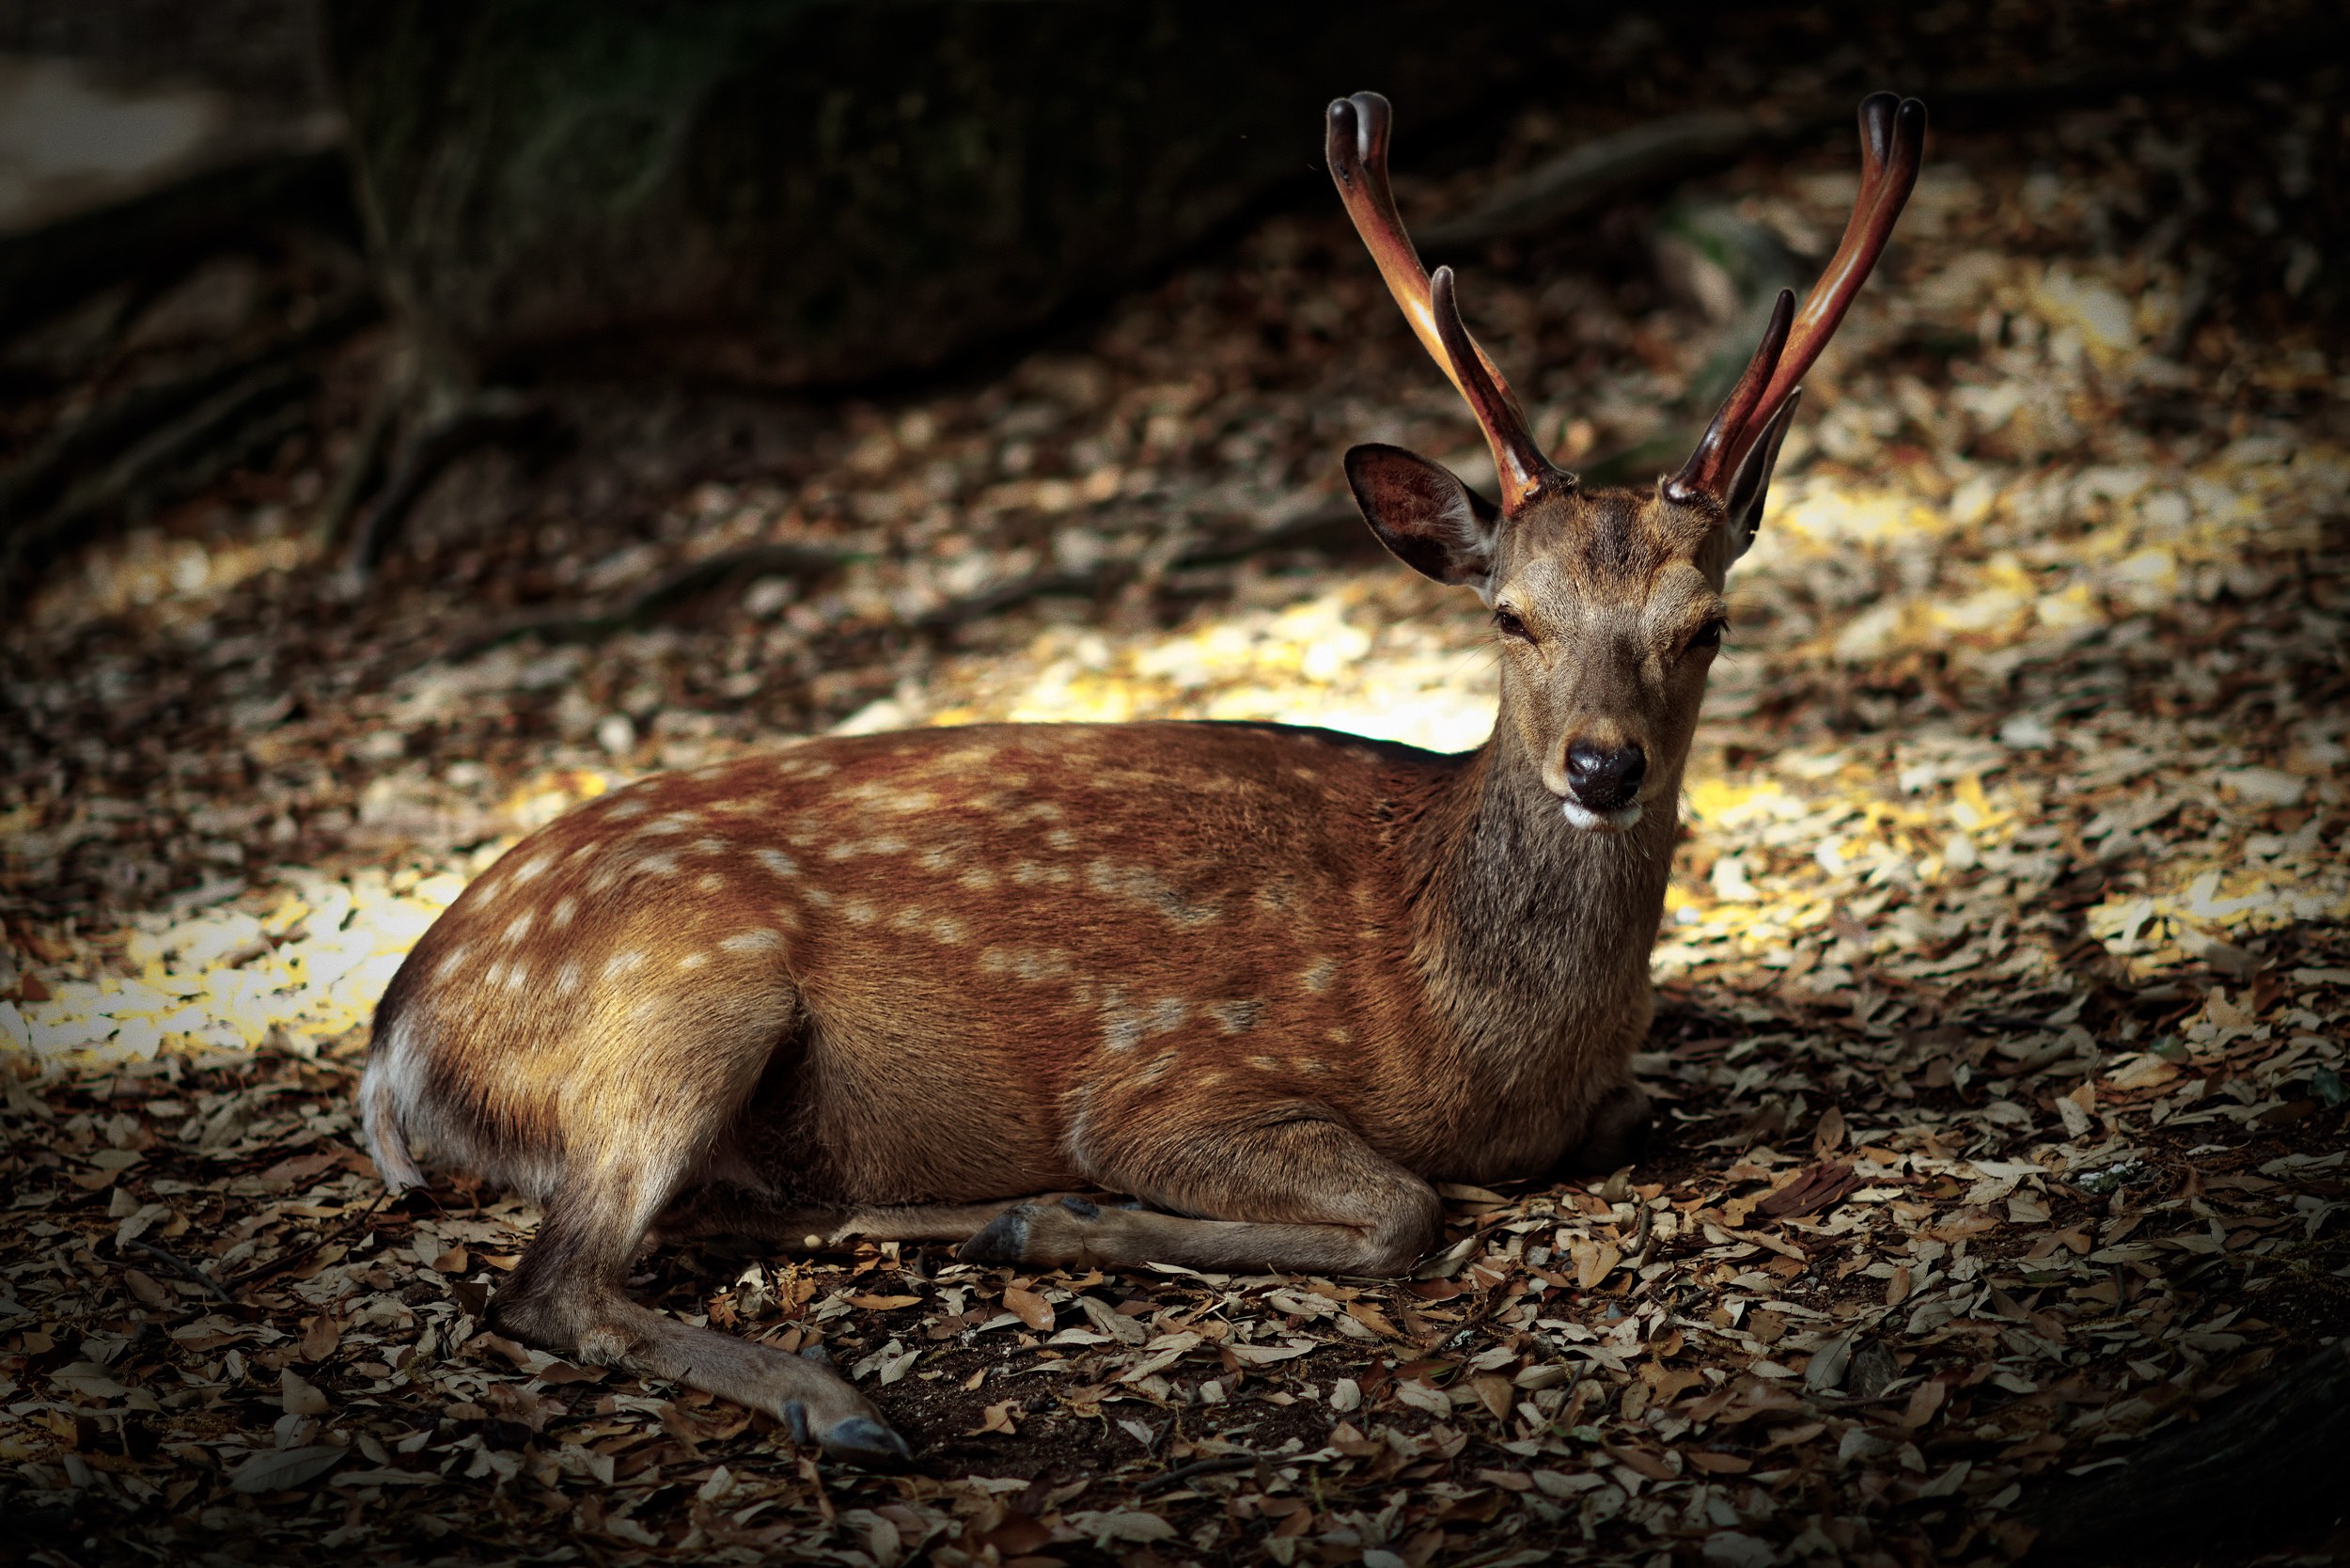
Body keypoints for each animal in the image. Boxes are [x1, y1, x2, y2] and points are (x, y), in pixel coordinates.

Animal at [358, 91, 1924, 1466]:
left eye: (1707, 624)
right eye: (1510, 616)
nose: (1603, 765)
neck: (1472, 1029)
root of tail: (398, 1032)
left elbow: (1607, 1124)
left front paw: (1038, 1222)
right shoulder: (1172, 1078)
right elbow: (1403, 1208)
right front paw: (1079, 1219)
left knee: (699, 1220)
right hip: (681, 997)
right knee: (552, 1280)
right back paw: (846, 1394)